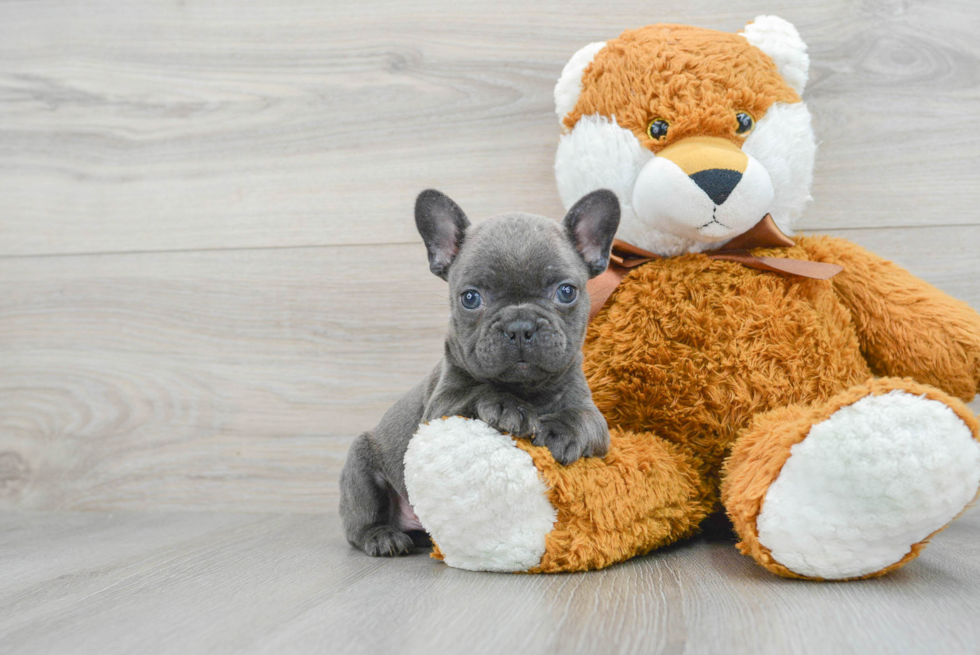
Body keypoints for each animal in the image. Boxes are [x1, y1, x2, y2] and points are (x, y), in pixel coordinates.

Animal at [336, 188, 620, 560]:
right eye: (470, 298)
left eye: (566, 291)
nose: (520, 325)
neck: (528, 389)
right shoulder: (439, 409)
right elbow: (477, 392)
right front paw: (506, 406)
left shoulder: (595, 420)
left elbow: (584, 419)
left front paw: (560, 430)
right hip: (360, 467)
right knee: (359, 524)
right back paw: (383, 536)